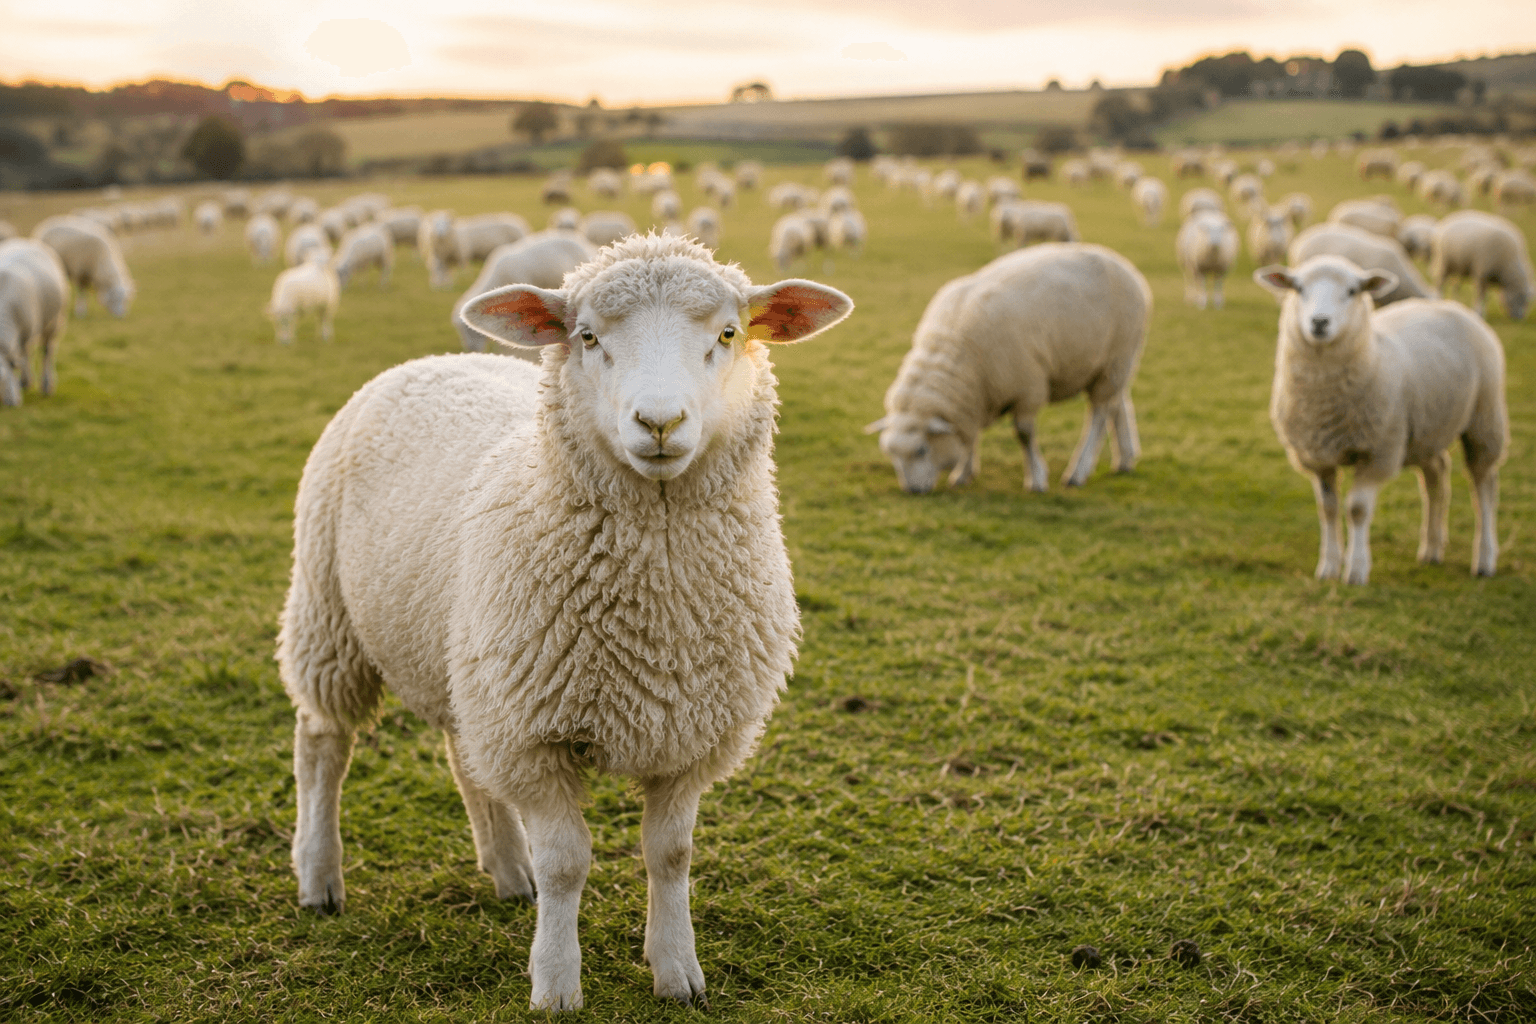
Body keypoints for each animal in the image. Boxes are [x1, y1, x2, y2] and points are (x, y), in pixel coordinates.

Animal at [0, 239, 69, 406]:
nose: (11, 404)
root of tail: (26, 240)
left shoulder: (26, 333)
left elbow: (23, 357)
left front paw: (23, 382)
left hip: (54, 322)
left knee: (47, 351)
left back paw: (46, 385)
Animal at [867, 243, 1148, 494]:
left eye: (921, 450)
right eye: (890, 453)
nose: (912, 491)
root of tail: (1124, 265)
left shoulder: (1028, 389)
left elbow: (1024, 435)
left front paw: (1037, 479)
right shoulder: (974, 396)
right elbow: (970, 435)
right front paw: (963, 474)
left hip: (1118, 356)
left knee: (1099, 414)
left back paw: (1078, 472)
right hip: (1112, 363)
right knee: (1118, 404)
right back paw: (1125, 459)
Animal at [1254, 256, 1507, 583]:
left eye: (1352, 291)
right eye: (1298, 288)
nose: (1319, 322)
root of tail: (1449, 305)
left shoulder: (1378, 451)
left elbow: (1357, 510)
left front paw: (1356, 570)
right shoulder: (1318, 455)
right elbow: (1328, 509)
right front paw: (1328, 567)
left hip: (1484, 419)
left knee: (1484, 486)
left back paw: (1485, 559)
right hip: (1426, 429)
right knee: (1437, 475)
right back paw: (1432, 549)